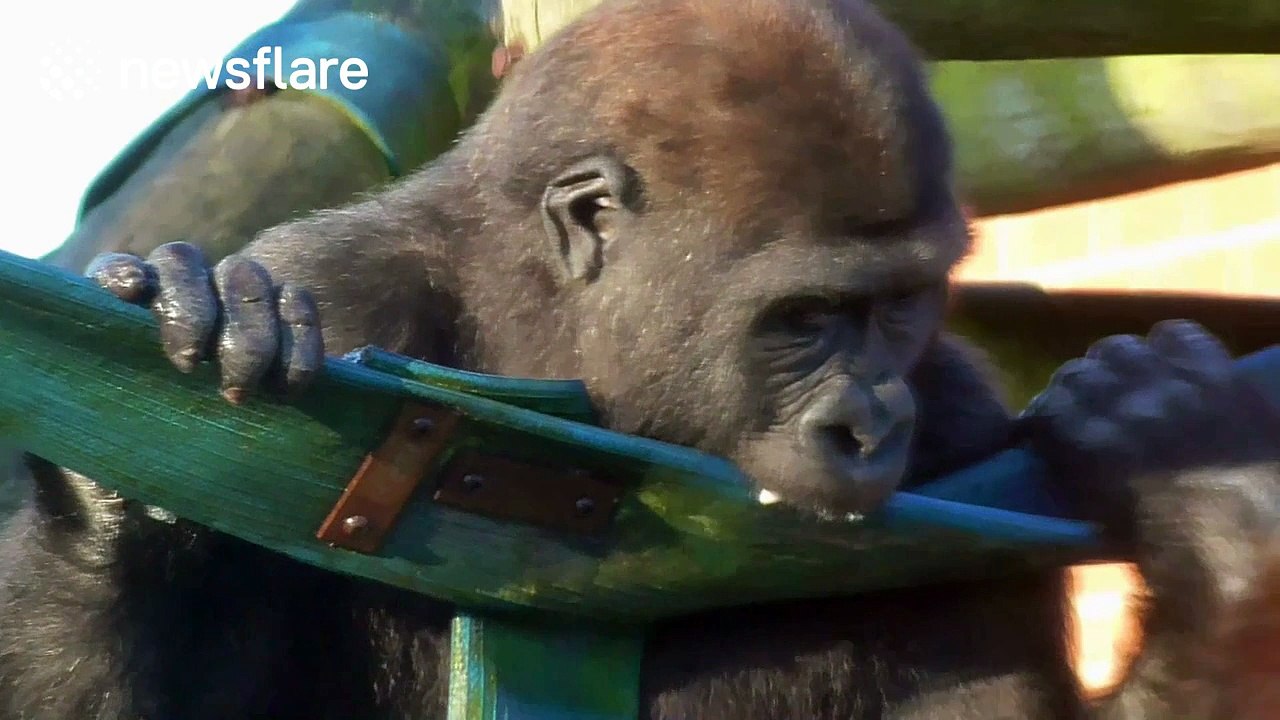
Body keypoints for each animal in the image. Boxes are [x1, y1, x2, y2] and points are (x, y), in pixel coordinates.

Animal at [3, 0, 1279, 718]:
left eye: (900, 307)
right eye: (804, 317)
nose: (871, 427)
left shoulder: (962, 435)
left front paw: (1210, 517)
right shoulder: (338, 288)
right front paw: (115, 502)